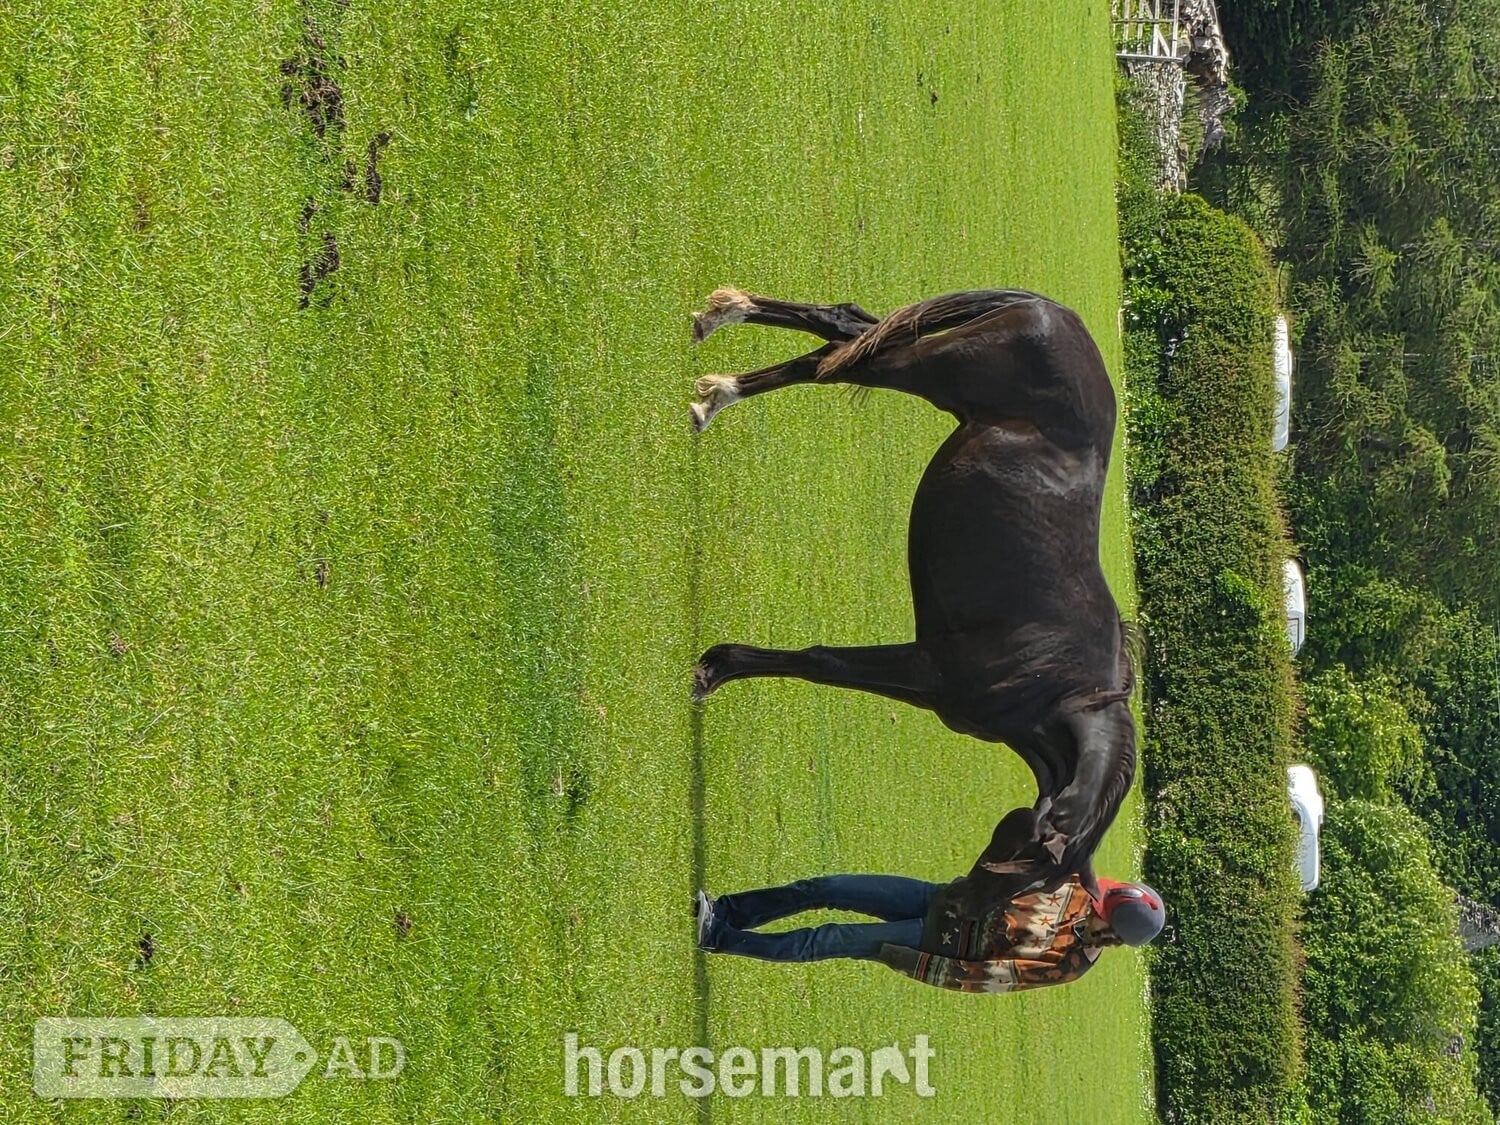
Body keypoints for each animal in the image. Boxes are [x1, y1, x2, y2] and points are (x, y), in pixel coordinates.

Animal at [687, 287, 1137, 896]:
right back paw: (716, 386)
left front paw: (715, 667)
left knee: (843, 329)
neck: (1063, 686)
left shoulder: (926, 687)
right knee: (834, 359)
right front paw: (714, 668)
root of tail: (1053, 311)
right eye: (1022, 873)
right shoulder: (929, 668)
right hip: (920, 367)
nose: (949, 915)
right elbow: (821, 663)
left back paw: (720, 339)